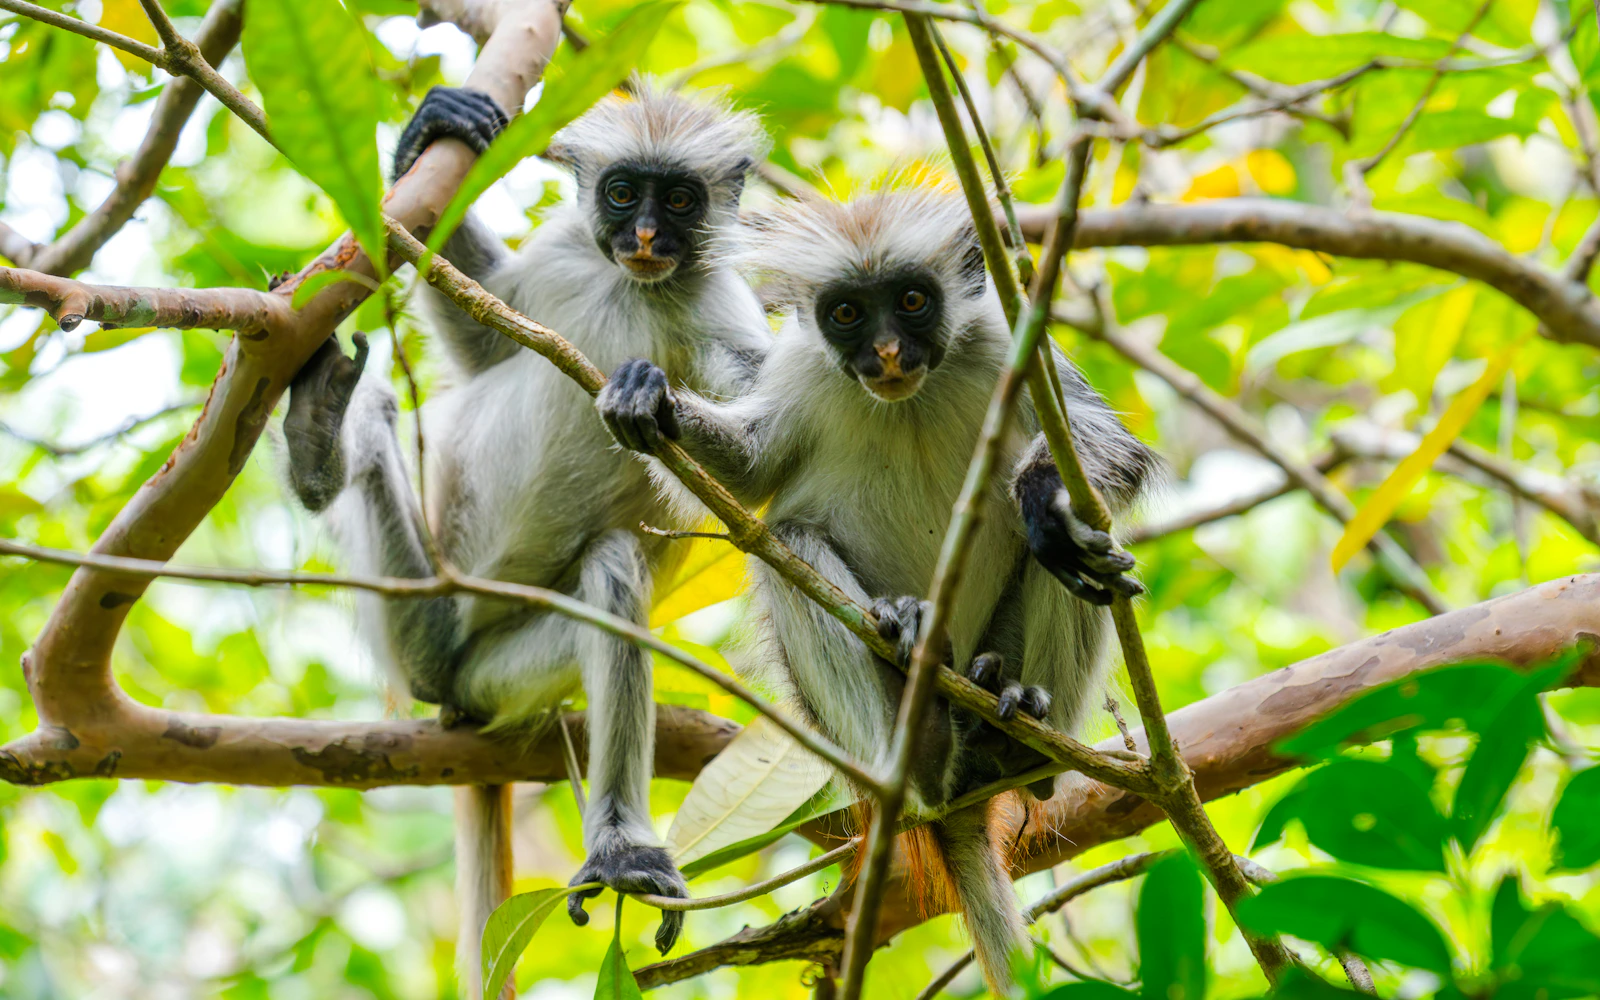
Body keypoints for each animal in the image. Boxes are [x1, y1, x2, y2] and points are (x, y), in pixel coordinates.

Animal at [279, 83, 772, 977]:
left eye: (681, 202)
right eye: (623, 193)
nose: (645, 237)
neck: (634, 286)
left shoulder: (724, 314)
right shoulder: (564, 255)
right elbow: (483, 343)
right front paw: (430, 131)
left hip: (493, 675)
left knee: (610, 572)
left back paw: (620, 850)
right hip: (416, 600)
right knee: (374, 438)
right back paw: (318, 443)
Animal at [595, 188, 1155, 993]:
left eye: (913, 301)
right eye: (847, 313)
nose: (887, 353)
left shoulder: (1007, 343)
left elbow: (1106, 460)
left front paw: (1046, 501)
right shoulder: (804, 368)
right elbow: (752, 476)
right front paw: (653, 401)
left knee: (1070, 570)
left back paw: (1014, 732)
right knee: (788, 541)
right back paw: (914, 737)